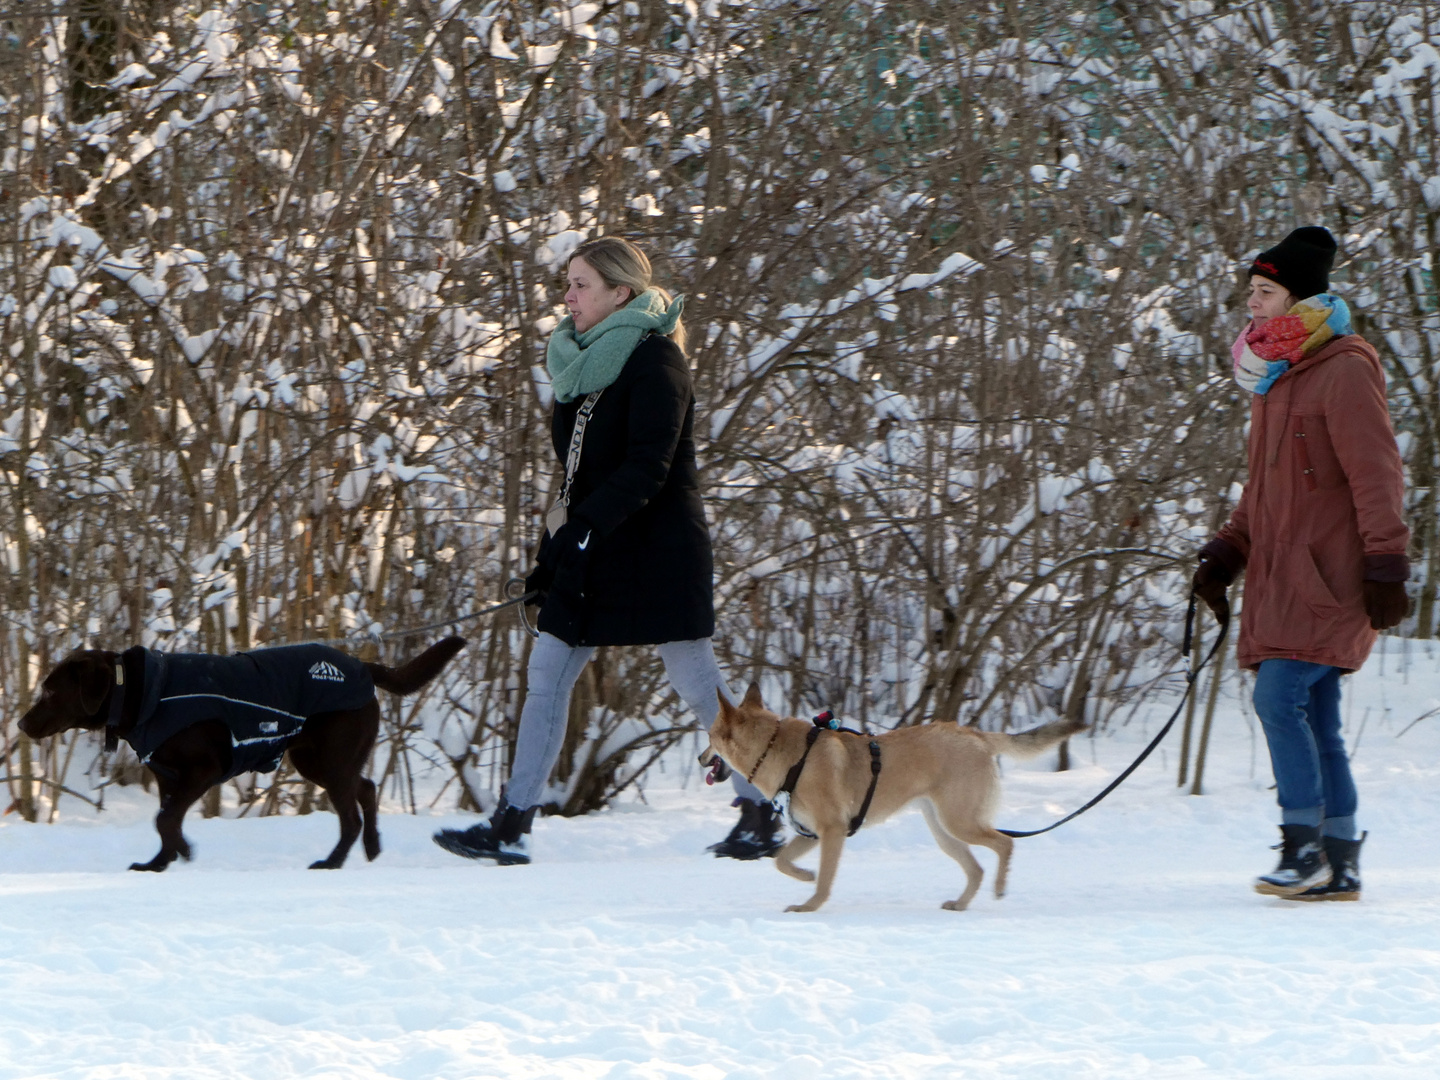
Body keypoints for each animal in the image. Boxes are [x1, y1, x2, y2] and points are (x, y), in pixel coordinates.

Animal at [18, 639, 466, 875]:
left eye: (50, 691)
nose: (21, 724)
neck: (143, 693)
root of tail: (363, 667)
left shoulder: (203, 770)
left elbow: (164, 819)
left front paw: (180, 853)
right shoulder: (167, 776)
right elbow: (164, 819)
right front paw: (161, 862)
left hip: (331, 758)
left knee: (351, 815)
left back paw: (331, 862)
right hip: (318, 759)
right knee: (368, 789)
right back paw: (372, 851)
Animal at [696, 685, 1082, 915]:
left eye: (709, 737)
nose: (700, 758)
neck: (781, 753)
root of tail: (975, 734)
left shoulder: (832, 832)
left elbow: (824, 880)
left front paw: (810, 904)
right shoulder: (814, 834)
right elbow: (782, 861)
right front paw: (805, 875)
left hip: (960, 823)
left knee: (1005, 844)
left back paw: (1000, 888)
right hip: (944, 832)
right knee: (976, 868)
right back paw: (960, 903)